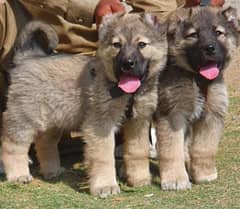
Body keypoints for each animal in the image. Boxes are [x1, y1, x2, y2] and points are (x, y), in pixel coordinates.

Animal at [0, 13, 168, 198]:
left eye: (142, 45)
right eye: (117, 45)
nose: (127, 63)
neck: (128, 94)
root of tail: (27, 57)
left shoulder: (138, 121)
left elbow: (138, 151)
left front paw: (139, 179)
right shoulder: (101, 124)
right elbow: (104, 156)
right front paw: (105, 186)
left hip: (54, 119)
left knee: (44, 143)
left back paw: (52, 170)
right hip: (25, 115)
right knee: (12, 145)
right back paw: (18, 175)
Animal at [155, 6, 239, 190]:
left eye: (218, 33)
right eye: (193, 35)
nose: (210, 48)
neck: (198, 78)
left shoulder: (212, 114)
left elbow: (205, 149)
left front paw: (204, 174)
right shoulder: (172, 114)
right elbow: (172, 150)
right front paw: (175, 179)